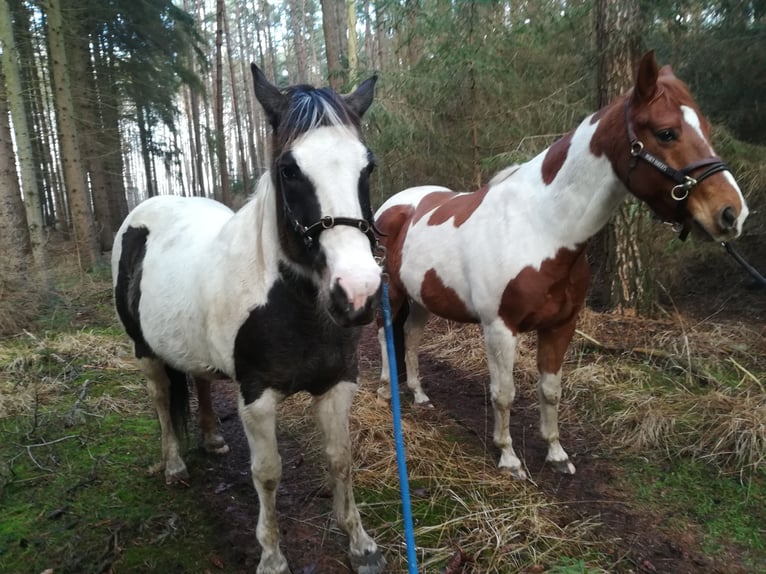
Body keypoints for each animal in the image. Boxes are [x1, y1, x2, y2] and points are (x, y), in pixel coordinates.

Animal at [111, 65, 388, 572]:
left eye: (368, 165)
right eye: (289, 169)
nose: (357, 292)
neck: (291, 303)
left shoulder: (339, 383)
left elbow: (340, 459)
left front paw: (361, 545)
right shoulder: (256, 398)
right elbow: (267, 474)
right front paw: (272, 556)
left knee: (199, 380)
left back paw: (211, 440)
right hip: (144, 350)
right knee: (160, 399)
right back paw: (174, 465)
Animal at [376, 50, 752, 482]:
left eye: (705, 128)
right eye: (666, 132)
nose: (731, 214)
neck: (541, 227)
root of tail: (394, 205)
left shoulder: (561, 326)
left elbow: (551, 390)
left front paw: (556, 454)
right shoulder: (500, 329)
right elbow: (503, 394)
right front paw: (509, 458)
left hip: (422, 298)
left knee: (411, 337)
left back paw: (419, 395)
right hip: (391, 292)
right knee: (386, 337)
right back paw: (386, 389)